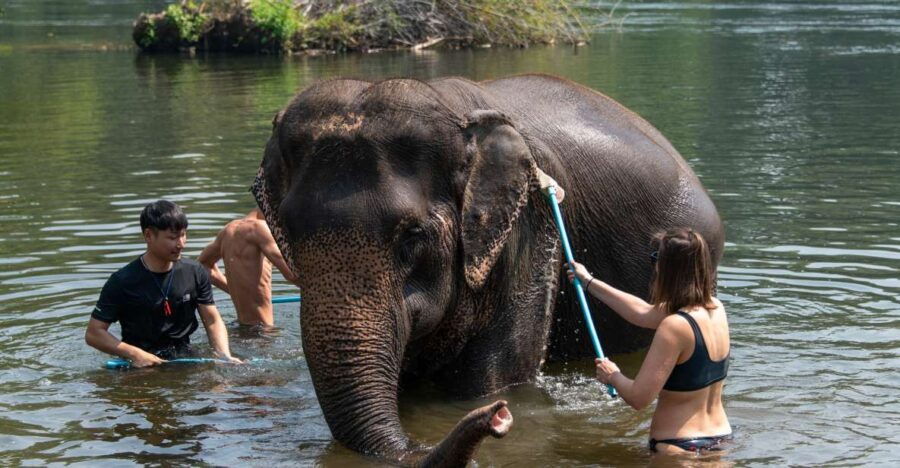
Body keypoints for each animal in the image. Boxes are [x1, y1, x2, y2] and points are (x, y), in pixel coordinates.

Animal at [251, 74, 724, 466]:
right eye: (288, 231)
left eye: (413, 236)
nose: (498, 419)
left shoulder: (529, 226)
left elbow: (493, 377)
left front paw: (491, 402)